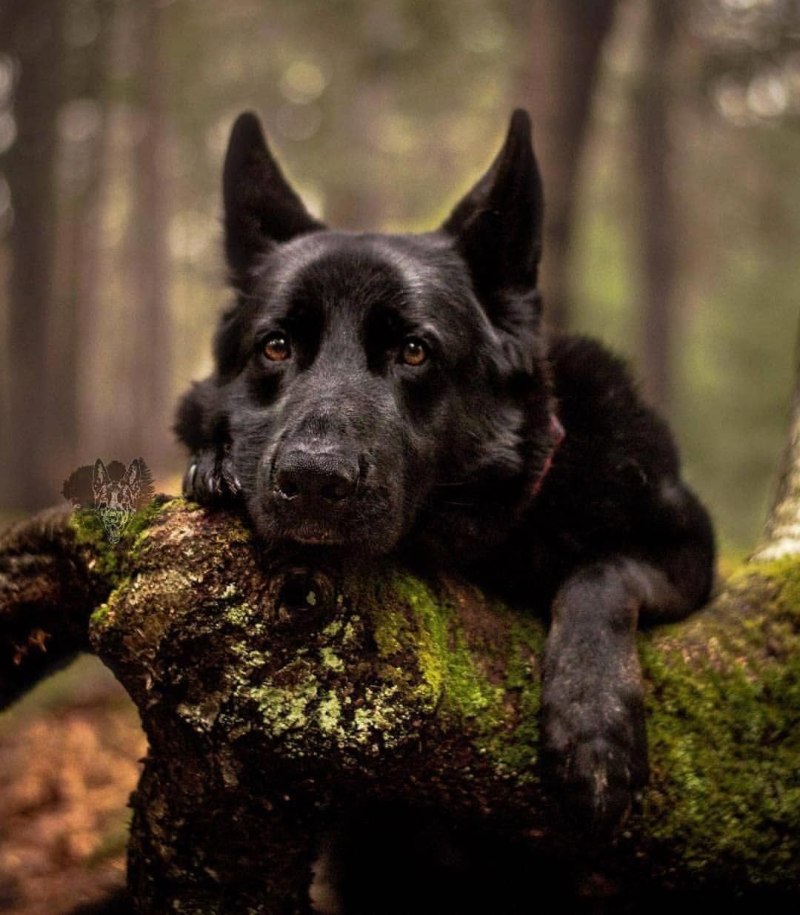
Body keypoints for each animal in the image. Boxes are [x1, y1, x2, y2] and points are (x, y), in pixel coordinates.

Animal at [175, 109, 712, 860]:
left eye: (414, 350)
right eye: (275, 346)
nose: (313, 478)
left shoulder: (691, 550)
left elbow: (601, 574)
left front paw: (592, 731)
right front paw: (215, 459)